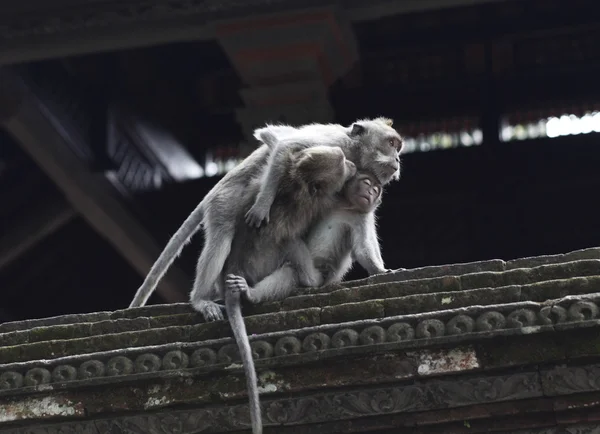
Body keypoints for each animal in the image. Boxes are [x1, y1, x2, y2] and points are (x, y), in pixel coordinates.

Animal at [131, 117, 404, 320]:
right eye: (391, 143)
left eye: (397, 146)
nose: (398, 159)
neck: (356, 152)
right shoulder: (334, 141)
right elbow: (279, 141)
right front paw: (263, 204)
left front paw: (381, 269)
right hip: (223, 203)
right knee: (221, 238)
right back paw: (201, 299)